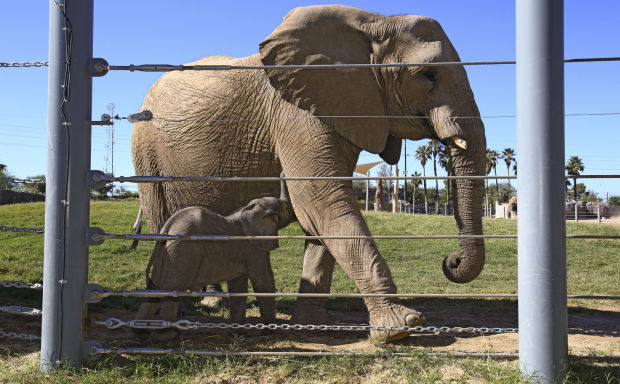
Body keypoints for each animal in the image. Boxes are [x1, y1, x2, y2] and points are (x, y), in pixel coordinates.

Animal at [137, 176, 296, 324]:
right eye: (285, 208)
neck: (248, 209)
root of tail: (168, 226)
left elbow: (238, 286)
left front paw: (238, 327)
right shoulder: (254, 247)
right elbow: (263, 282)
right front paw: (270, 326)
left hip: (166, 253)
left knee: (154, 292)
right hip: (182, 252)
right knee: (171, 291)